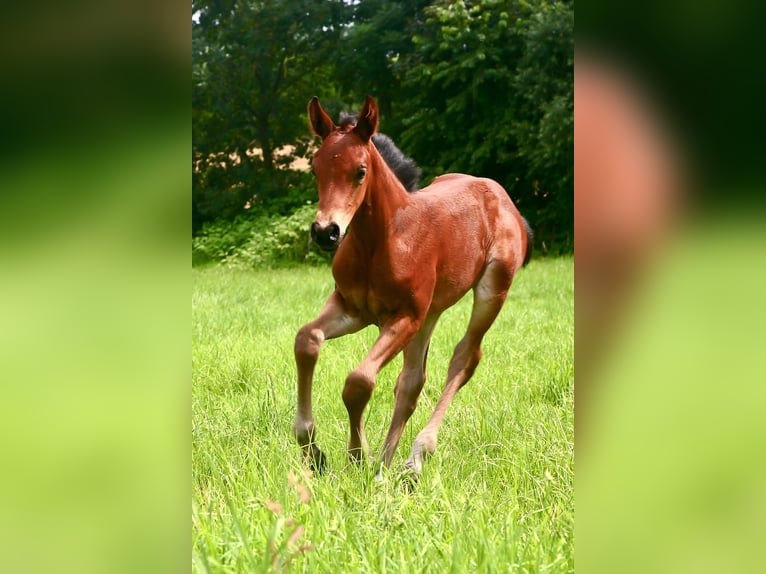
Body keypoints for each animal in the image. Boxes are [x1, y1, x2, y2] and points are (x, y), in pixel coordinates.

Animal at [294, 95, 536, 482]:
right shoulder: (352, 309)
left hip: (490, 291)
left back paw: (415, 456)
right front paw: (313, 449)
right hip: (431, 313)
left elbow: (359, 381)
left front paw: (357, 457)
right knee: (411, 381)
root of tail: (501, 196)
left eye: (360, 171)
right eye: (316, 170)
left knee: (464, 358)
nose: (325, 232)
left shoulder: (403, 317)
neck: (381, 241)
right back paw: (386, 466)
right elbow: (307, 340)